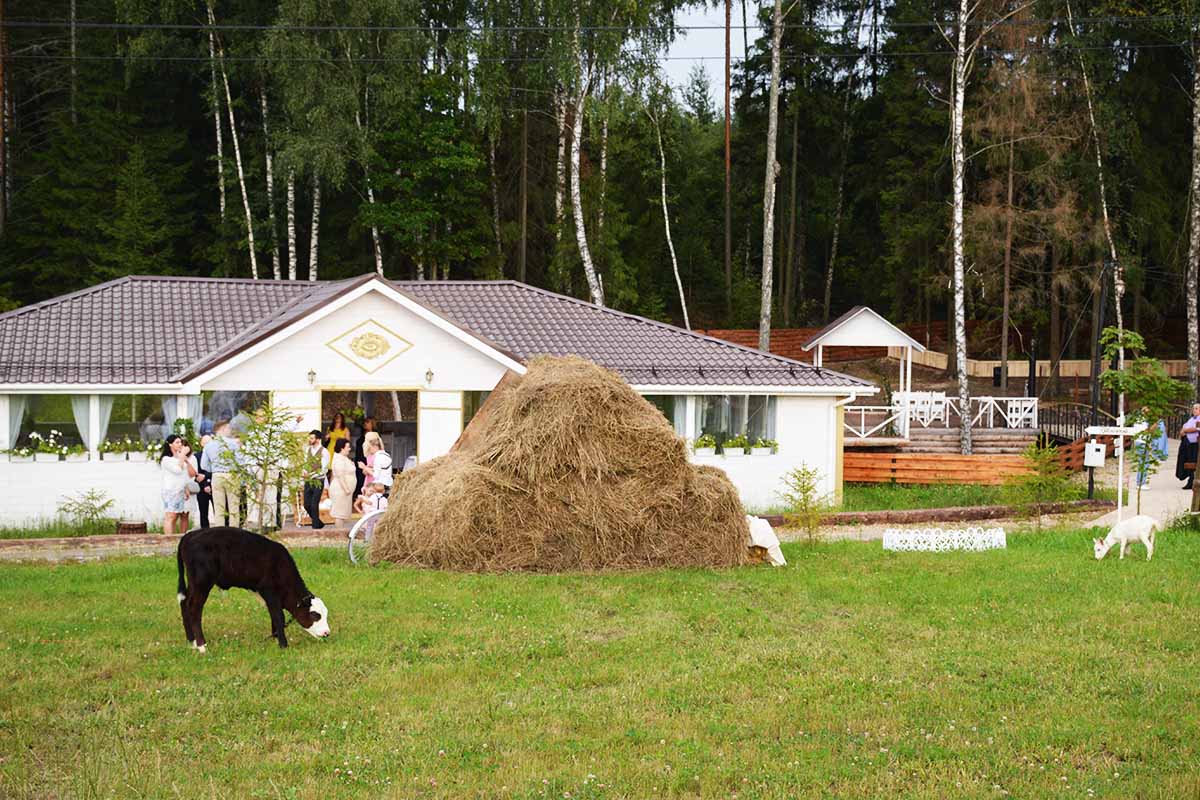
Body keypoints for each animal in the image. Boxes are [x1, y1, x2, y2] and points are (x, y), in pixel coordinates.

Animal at [175, 525, 331, 652]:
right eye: (315, 615)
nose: (327, 633)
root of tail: (190, 534)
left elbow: (273, 615)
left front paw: (274, 638)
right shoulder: (270, 591)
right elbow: (279, 616)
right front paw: (283, 644)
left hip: (193, 582)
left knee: (184, 603)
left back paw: (192, 641)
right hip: (202, 582)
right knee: (194, 608)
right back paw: (202, 646)